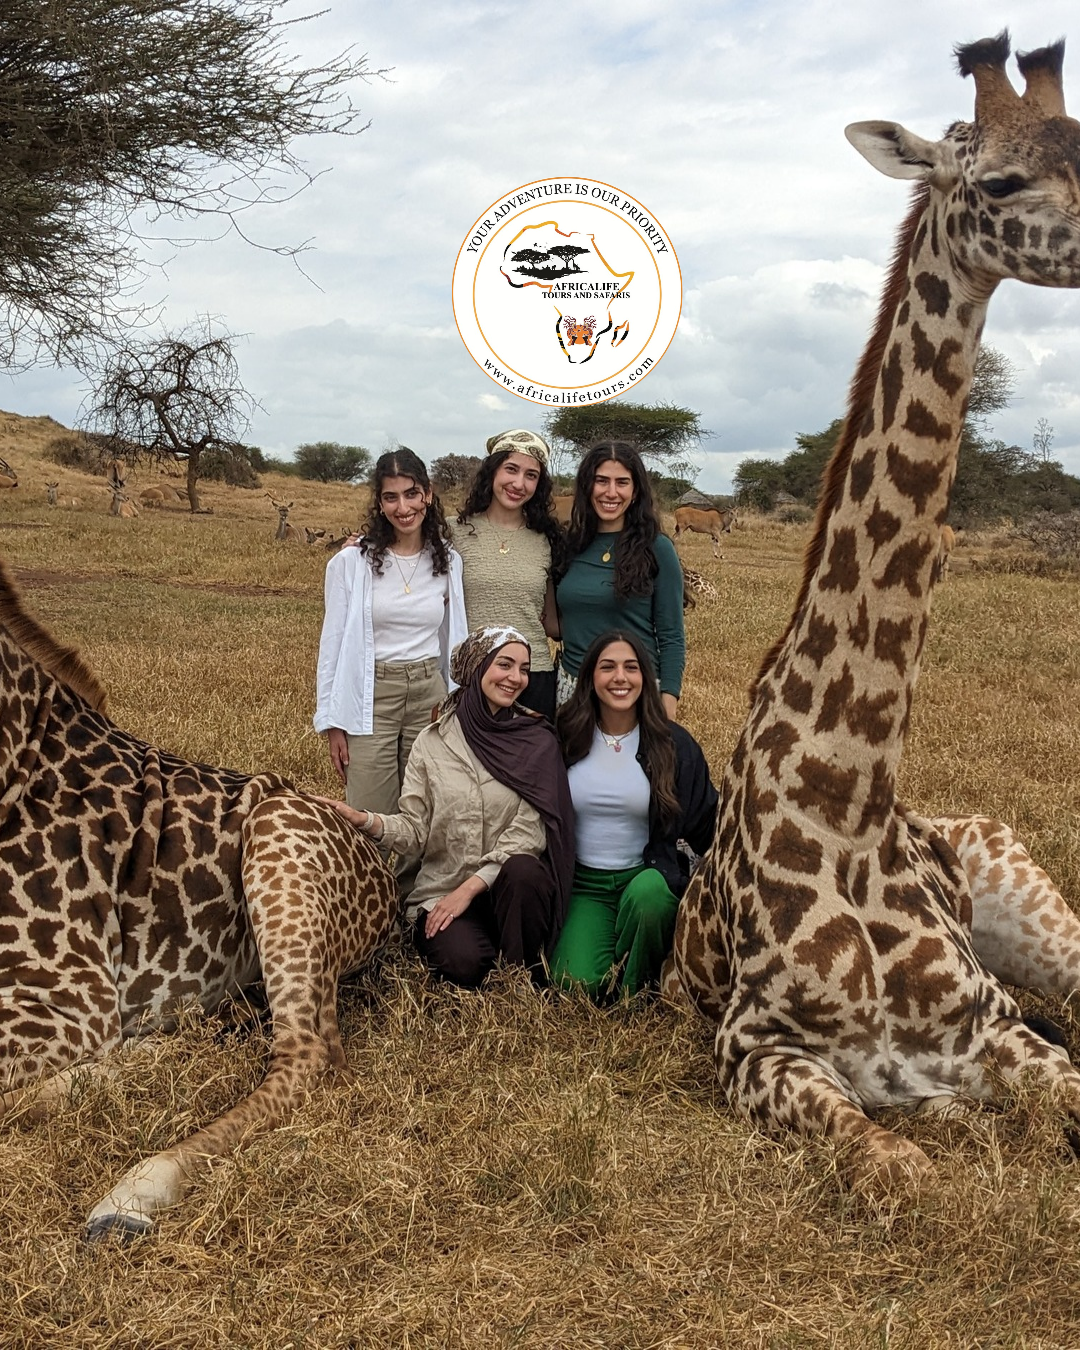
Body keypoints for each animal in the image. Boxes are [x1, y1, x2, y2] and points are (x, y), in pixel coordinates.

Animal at [673, 32, 1080, 1189]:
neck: (850, 796)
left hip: (1050, 929)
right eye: (1001, 180)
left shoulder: (994, 1027)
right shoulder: (759, 1048)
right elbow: (910, 1169)